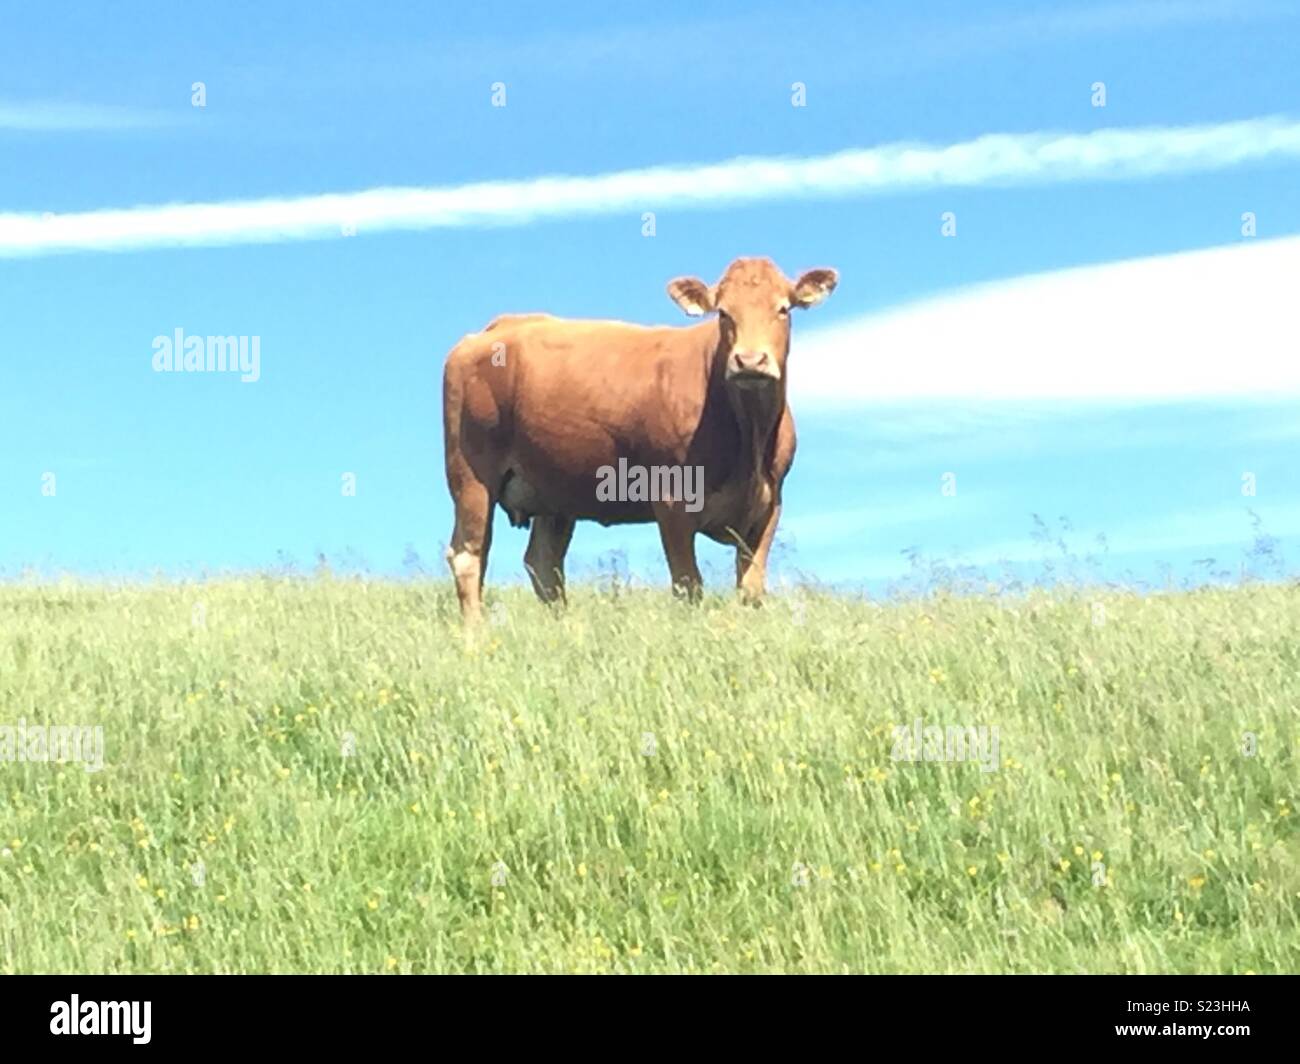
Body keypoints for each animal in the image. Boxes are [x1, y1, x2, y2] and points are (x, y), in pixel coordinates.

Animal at [442, 256, 838, 619]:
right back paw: (475, 637)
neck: (748, 437)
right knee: (469, 556)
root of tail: (494, 329)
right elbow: (688, 584)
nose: (750, 361)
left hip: (553, 489)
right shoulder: (672, 501)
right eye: (723, 313)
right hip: (471, 473)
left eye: (783, 309)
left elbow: (751, 588)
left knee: (543, 565)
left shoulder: (769, 505)